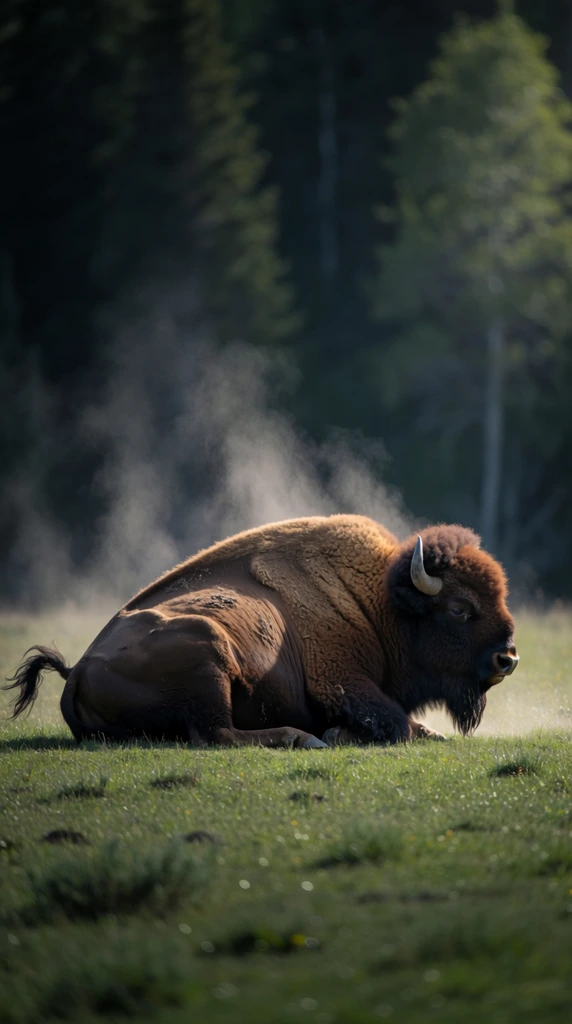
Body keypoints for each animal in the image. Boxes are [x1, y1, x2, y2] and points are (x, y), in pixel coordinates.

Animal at [5, 515, 518, 747]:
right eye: (459, 609)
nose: (508, 658)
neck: (376, 605)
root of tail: (76, 670)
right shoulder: (343, 682)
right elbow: (398, 723)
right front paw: (338, 733)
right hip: (208, 651)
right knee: (218, 734)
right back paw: (302, 737)